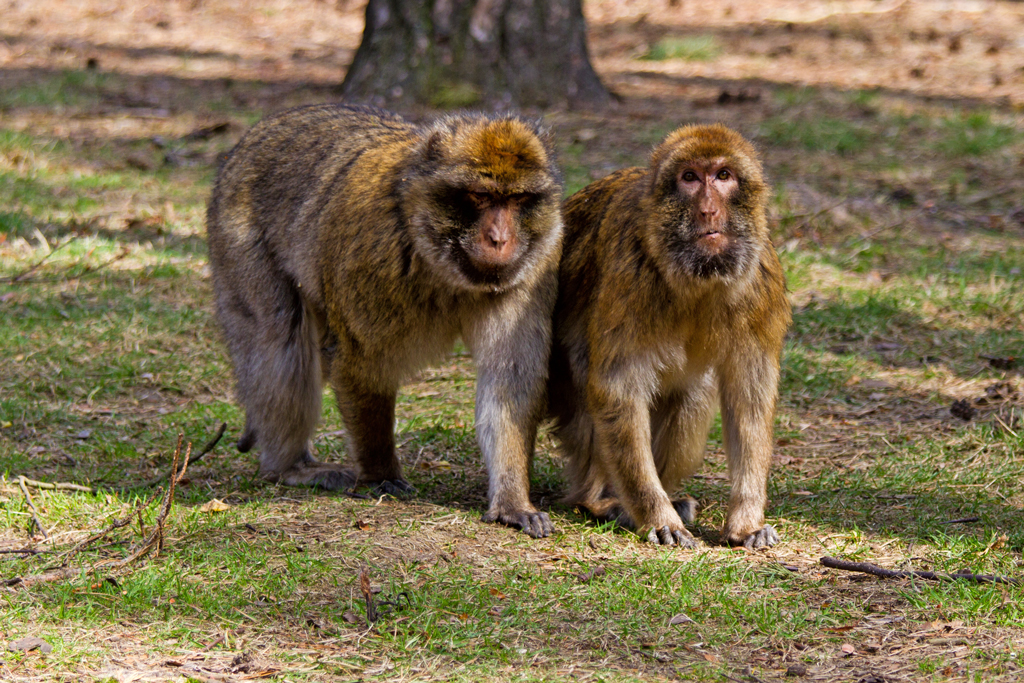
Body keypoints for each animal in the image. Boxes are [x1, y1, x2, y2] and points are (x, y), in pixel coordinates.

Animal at [204, 102, 565, 540]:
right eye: (480, 196)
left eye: (517, 199)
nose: (499, 239)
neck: (437, 258)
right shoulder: (371, 256)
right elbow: (363, 364)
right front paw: (379, 473)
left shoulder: (536, 265)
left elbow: (510, 378)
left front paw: (512, 501)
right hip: (237, 239)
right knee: (279, 341)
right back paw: (290, 467)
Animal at [548, 122, 786, 548]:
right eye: (689, 178)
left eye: (723, 176)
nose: (708, 209)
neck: (698, 276)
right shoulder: (631, 273)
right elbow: (618, 389)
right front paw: (658, 516)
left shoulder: (761, 282)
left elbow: (749, 398)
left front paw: (745, 522)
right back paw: (601, 500)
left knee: (693, 395)